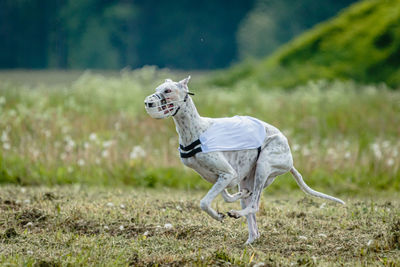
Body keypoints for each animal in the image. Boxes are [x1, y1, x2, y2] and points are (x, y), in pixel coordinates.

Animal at [145, 76, 346, 245]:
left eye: (168, 90)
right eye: (157, 89)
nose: (148, 102)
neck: (196, 129)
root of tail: (290, 159)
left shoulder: (227, 174)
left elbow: (205, 202)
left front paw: (218, 216)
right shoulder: (222, 177)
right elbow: (227, 196)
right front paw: (233, 200)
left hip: (264, 165)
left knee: (255, 206)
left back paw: (237, 213)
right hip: (251, 177)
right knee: (253, 222)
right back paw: (249, 236)